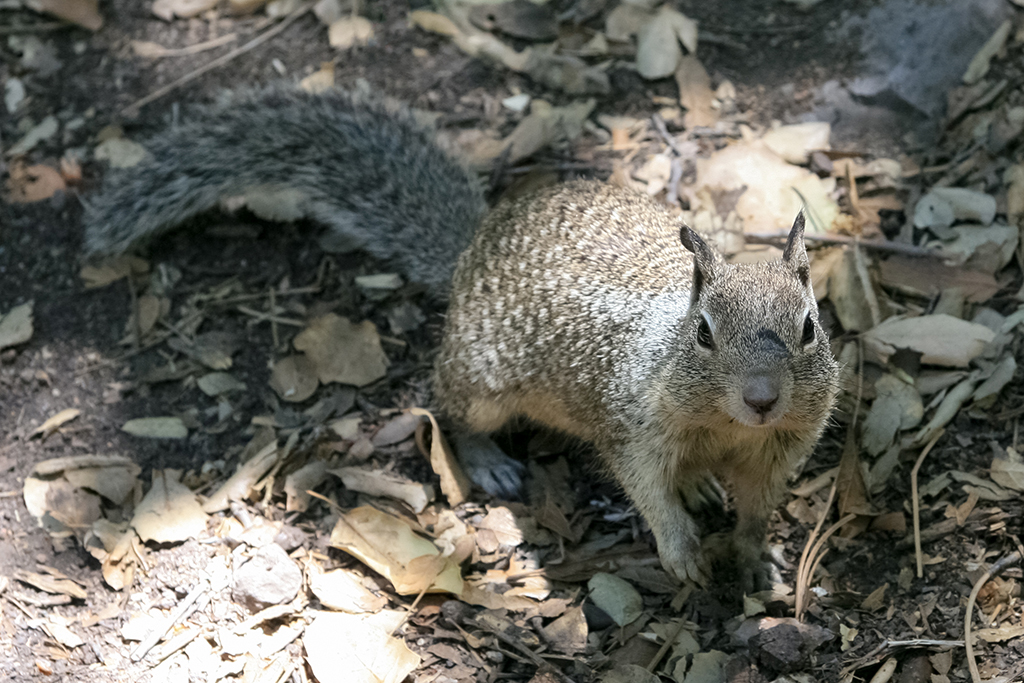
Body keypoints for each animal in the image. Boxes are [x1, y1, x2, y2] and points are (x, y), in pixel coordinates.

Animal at [83, 83, 839, 589]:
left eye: (810, 327)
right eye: (703, 333)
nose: (763, 398)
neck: (725, 427)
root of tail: (473, 248)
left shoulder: (780, 449)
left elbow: (759, 506)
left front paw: (754, 552)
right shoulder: (635, 425)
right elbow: (646, 489)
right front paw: (682, 550)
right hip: (482, 378)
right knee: (450, 407)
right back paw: (492, 461)